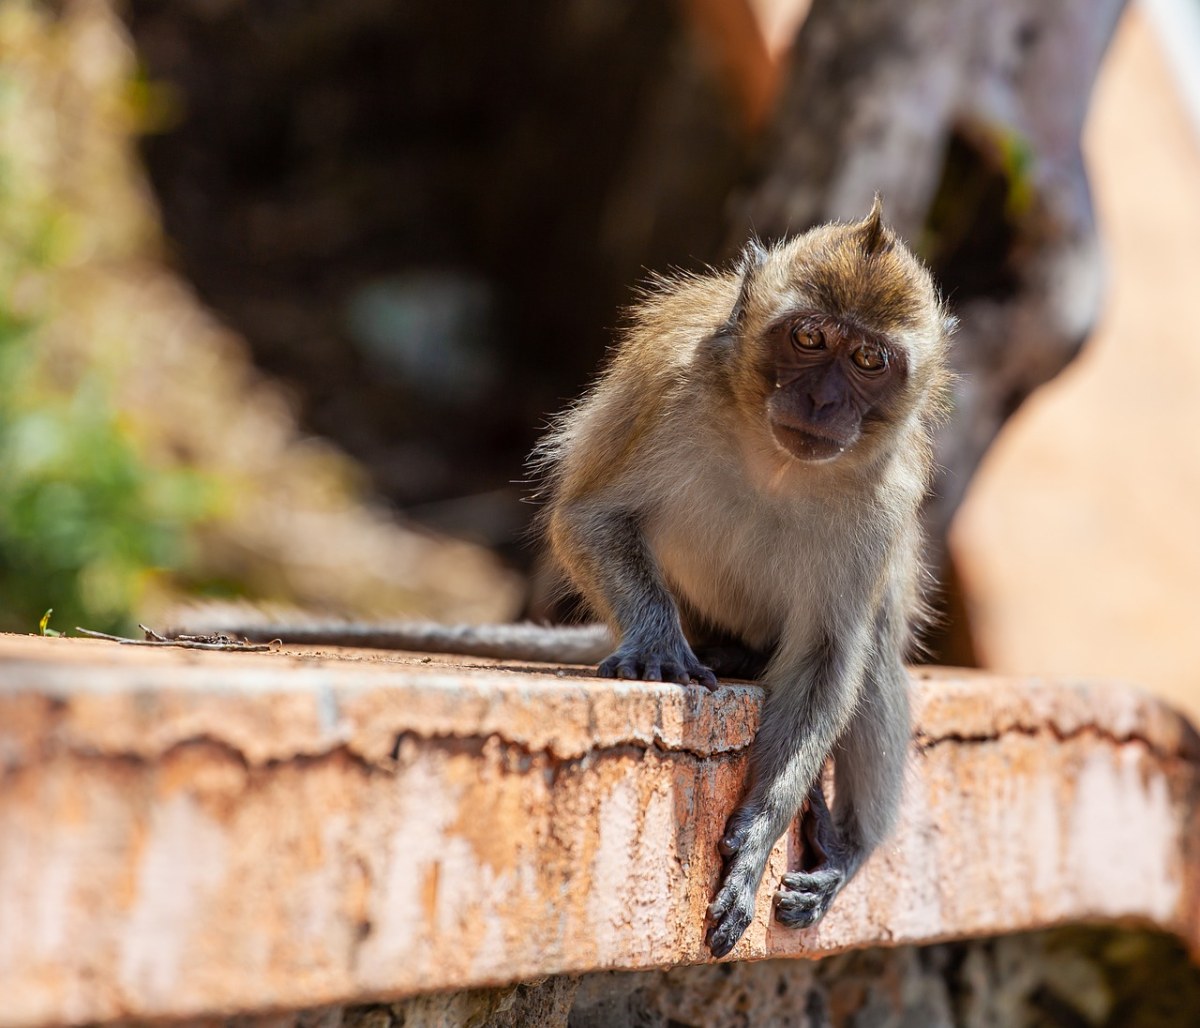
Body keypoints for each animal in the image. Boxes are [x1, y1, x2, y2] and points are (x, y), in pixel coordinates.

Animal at [175, 199, 945, 954]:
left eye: (868, 358)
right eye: (809, 339)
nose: (822, 403)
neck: (774, 458)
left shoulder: (884, 499)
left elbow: (828, 655)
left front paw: (760, 834)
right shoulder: (669, 386)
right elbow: (589, 519)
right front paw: (657, 645)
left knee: (873, 649)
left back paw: (847, 848)